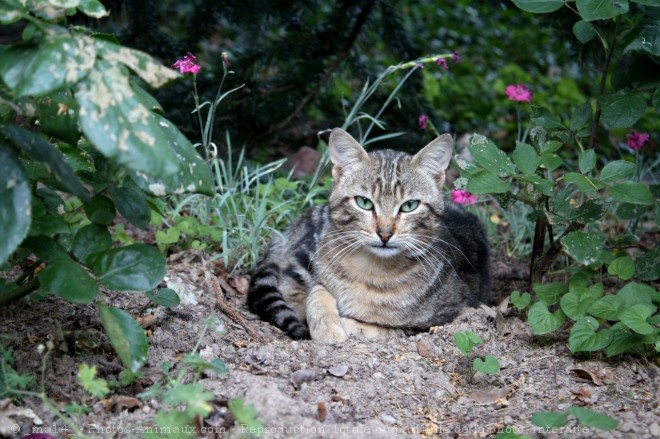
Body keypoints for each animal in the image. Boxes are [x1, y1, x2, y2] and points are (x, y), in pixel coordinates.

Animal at [248, 127, 490, 344]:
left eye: (410, 205)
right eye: (364, 202)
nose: (385, 233)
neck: (370, 270)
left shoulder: (441, 317)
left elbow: (376, 327)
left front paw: (344, 325)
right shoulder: (320, 276)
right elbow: (316, 293)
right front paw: (327, 328)